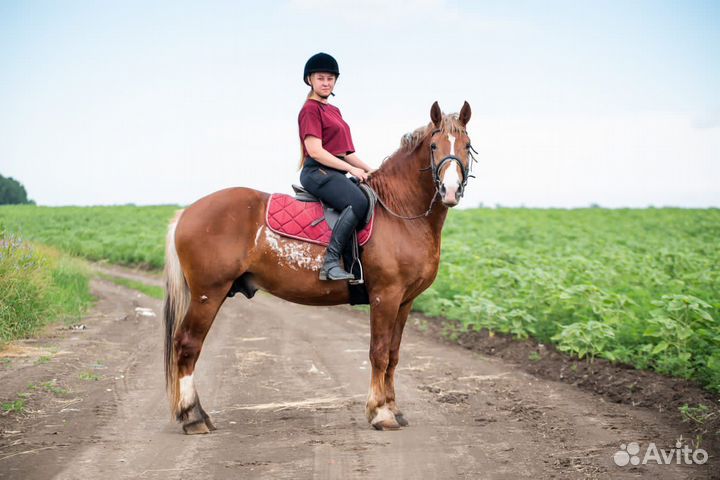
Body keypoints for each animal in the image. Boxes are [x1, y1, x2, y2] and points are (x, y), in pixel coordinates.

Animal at [163, 101, 475, 434]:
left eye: (467, 145)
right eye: (433, 146)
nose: (451, 190)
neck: (399, 211)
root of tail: (187, 213)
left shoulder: (405, 301)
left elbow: (393, 355)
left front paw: (394, 409)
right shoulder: (385, 296)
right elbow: (378, 352)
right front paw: (380, 413)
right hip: (208, 294)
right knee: (187, 345)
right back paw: (193, 417)